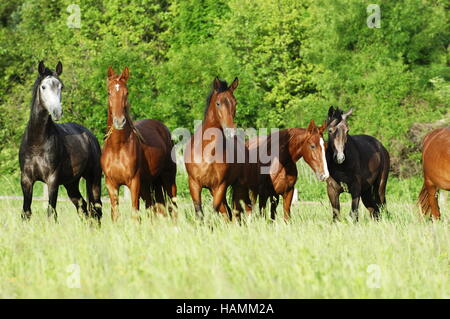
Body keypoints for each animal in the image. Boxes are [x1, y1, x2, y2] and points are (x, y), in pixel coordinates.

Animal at [18, 60, 102, 222]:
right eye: (43, 87)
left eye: (60, 86)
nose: (57, 112)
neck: (37, 142)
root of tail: (90, 136)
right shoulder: (26, 180)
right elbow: (26, 212)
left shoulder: (52, 180)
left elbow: (51, 212)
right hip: (71, 184)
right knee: (83, 207)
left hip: (93, 179)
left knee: (96, 209)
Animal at [101, 67, 177, 222]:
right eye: (109, 92)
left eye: (126, 93)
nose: (119, 121)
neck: (117, 147)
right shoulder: (111, 184)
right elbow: (115, 215)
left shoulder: (134, 182)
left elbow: (135, 214)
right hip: (150, 184)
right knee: (156, 209)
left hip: (168, 178)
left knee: (173, 207)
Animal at [184, 76, 239, 221]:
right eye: (218, 103)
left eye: (235, 103)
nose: (231, 131)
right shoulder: (194, 185)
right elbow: (199, 213)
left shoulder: (220, 186)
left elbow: (214, 211)